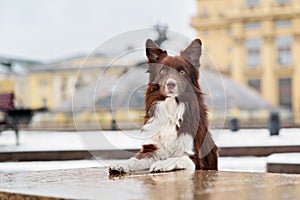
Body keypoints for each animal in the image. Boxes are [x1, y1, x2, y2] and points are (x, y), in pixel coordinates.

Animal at [108, 38, 218, 173]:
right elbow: (135, 159)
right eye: (163, 71)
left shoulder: (196, 157)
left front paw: (161, 164)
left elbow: (178, 157)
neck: (171, 107)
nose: (170, 84)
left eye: (182, 72)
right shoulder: (152, 149)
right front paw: (121, 164)